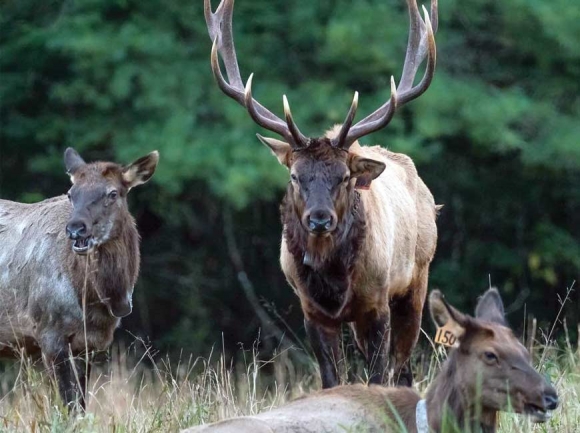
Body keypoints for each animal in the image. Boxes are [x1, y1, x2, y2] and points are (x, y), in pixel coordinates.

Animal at [0, 148, 159, 408]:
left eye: (112, 193)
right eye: (70, 194)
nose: (75, 229)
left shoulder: (88, 344)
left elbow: (81, 404)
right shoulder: (48, 331)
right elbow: (69, 404)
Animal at [207, 0, 440, 384]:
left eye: (345, 177)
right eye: (295, 176)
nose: (318, 220)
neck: (333, 285)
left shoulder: (377, 302)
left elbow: (379, 376)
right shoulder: (312, 312)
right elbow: (331, 379)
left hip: (416, 281)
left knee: (403, 367)